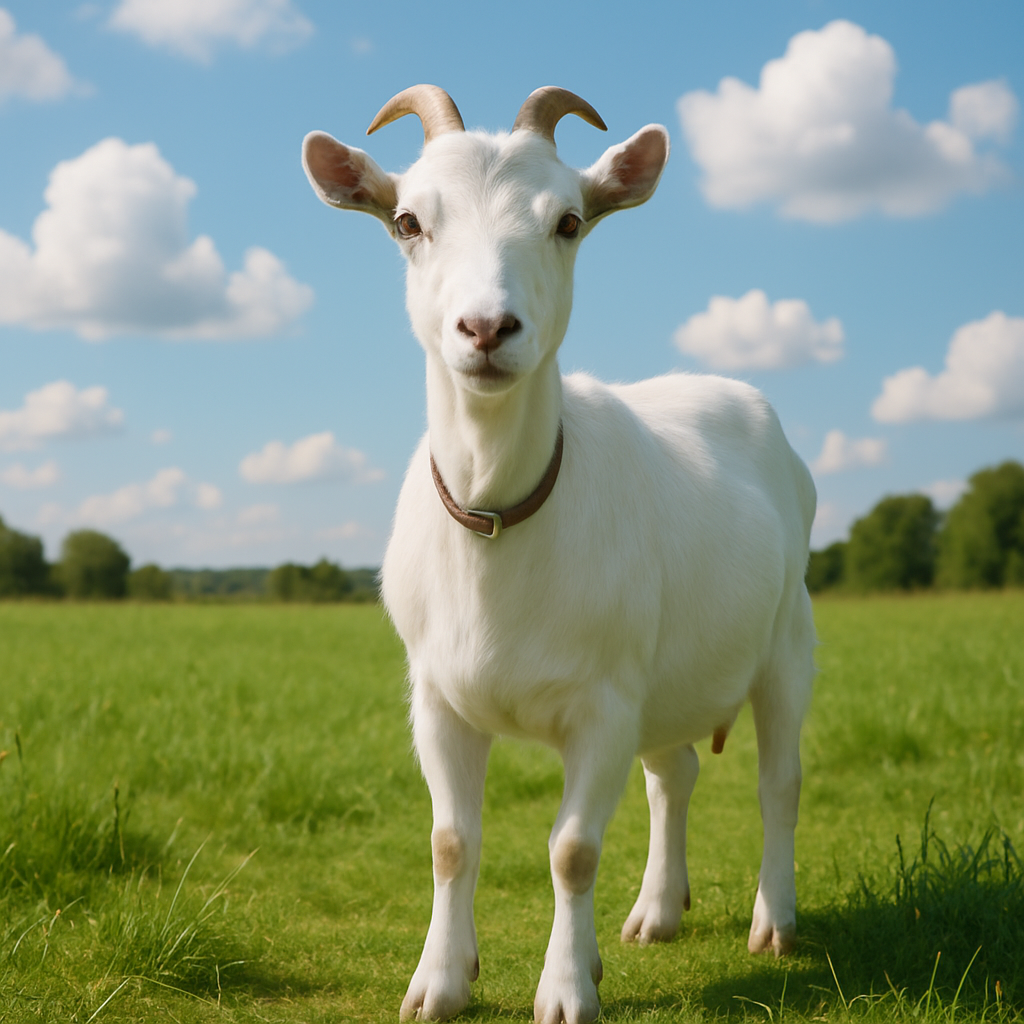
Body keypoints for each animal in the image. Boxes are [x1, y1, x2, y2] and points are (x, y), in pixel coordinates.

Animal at [302, 85, 817, 1024]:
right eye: (407, 221)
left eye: (569, 221)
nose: (486, 326)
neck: (498, 521)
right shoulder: (437, 696)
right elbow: (450, 841)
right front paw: (440, 983)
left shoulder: (603, 703)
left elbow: (572, 850)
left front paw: (568, 991)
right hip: (666, 677)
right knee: (674, 772)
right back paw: (656, 912)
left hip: (788, 641)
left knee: (779, 783)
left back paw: (775, 921)